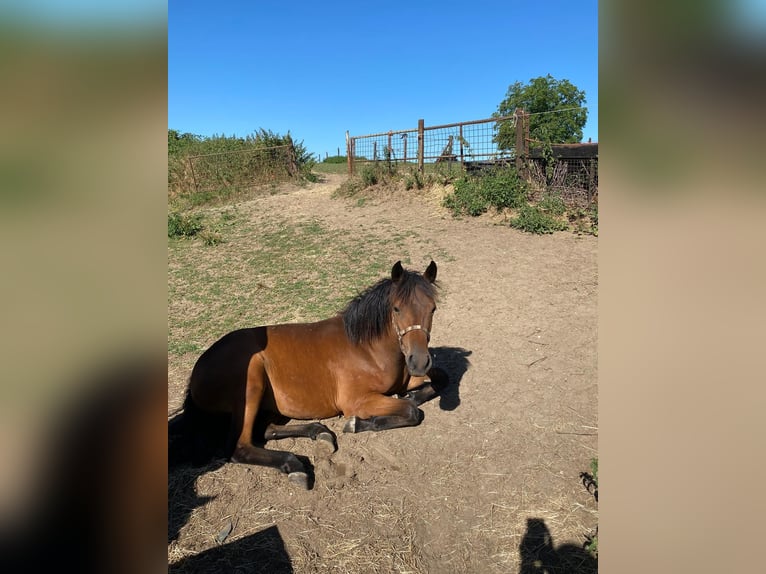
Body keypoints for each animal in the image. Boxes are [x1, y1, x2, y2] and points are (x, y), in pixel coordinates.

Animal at [180, 260, 448, 489]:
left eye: (433, 308)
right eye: (397, 308)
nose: (418, 361)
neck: (367, 348)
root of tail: (199, 369)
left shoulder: (406, 379)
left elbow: (439, 379)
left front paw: (411, 395)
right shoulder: (356, 401)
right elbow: (412, 412)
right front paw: (359, 423)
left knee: (265, 430)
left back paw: (320, 433)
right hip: (251, 383)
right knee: (240, 447)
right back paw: (295, 465)